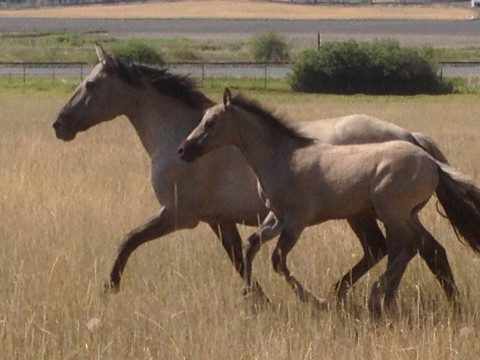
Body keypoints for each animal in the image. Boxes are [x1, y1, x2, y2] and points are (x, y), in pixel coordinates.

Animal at [54, 44, 452, 304]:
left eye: (90, 84)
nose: (59, 125)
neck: (181, 137)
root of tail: (410, 137)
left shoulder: (179, 216)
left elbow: (129, 240)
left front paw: (110, 288)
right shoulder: (220, 220)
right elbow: (238, 255)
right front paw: (258, 298)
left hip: (370, 213)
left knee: (404, 249)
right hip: (372, 214)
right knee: (408, 249)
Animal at [178, 89, 480, 318]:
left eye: (210, 123)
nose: (183, 150)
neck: (282, 158)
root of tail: (431, 162)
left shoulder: (297, 220)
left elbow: (278, 259)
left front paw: (315, 301)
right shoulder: (276, 216)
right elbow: (252, 244)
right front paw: (247, 291)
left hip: (391, 213)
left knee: (405, 247)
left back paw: (376, 296)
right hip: (404, 214)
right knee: (413, 247)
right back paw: (384, 299)